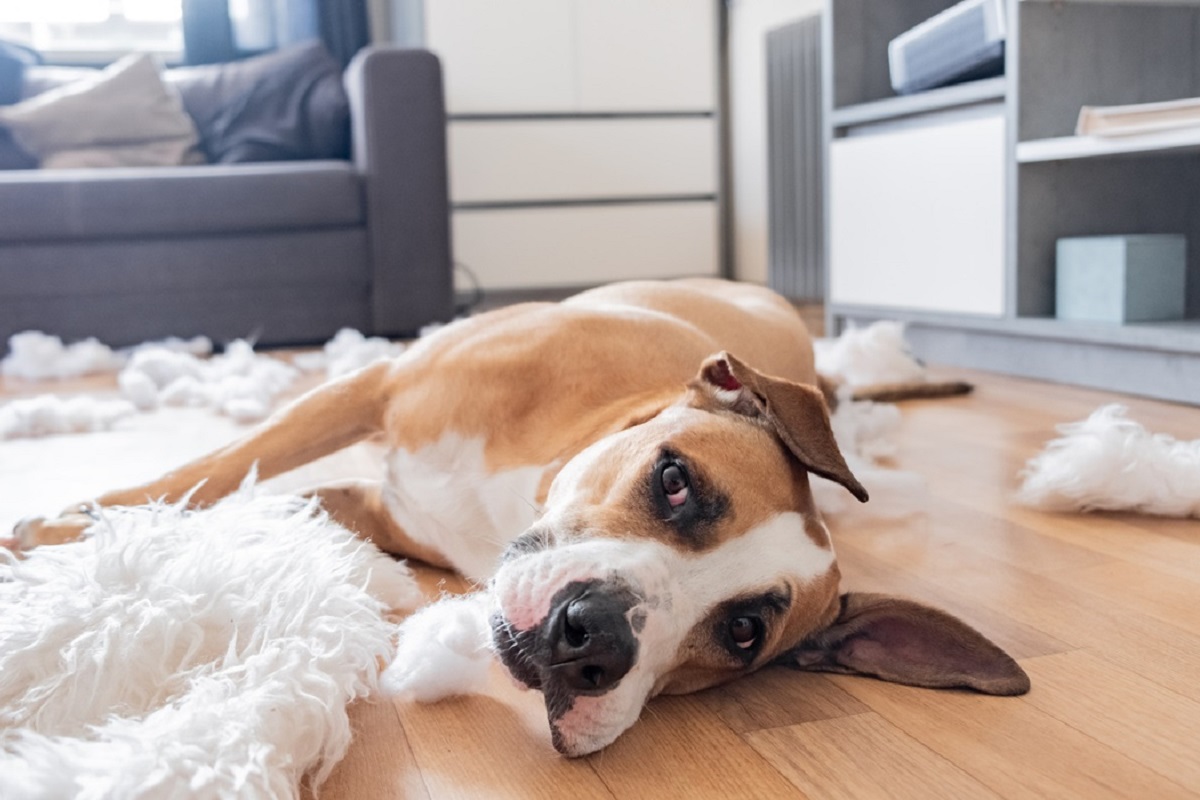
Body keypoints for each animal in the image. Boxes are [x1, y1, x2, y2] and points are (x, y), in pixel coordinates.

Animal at [4, 280, 1027, 758]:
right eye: (676, 481)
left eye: (743, 632)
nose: (594, 637)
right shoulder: (371, 386)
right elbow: (209, 471)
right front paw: (61, 534)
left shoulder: (368, 501)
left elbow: (253, 499)